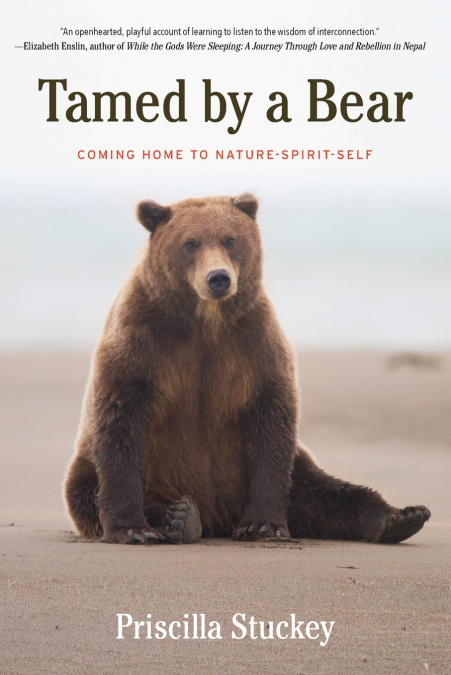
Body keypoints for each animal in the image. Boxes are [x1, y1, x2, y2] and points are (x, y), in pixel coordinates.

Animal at [64, 193, 431, 545]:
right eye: (190, 243)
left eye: (230, 239)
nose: (218, 278)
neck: (204, 323)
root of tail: (219, 519)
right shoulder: (142, 341)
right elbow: (121, 419)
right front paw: (132, 529)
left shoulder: (253, 345)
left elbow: (270, 421)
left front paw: (263, 525)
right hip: (100, 470)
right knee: (86, 491)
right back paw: (180, 517)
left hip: (291, 473)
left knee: (326, 491)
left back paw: (402, 517)